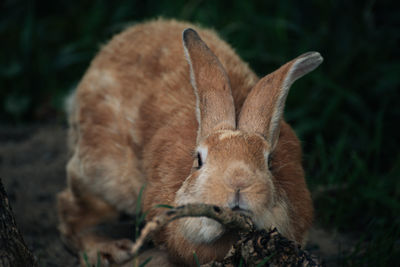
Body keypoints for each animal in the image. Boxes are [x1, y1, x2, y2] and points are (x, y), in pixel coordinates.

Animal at [57, 17, 324, 266]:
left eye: (269, 162)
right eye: (199, 160)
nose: (238, 183)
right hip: (102, 180)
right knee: (73, 212)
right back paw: (106, 251)